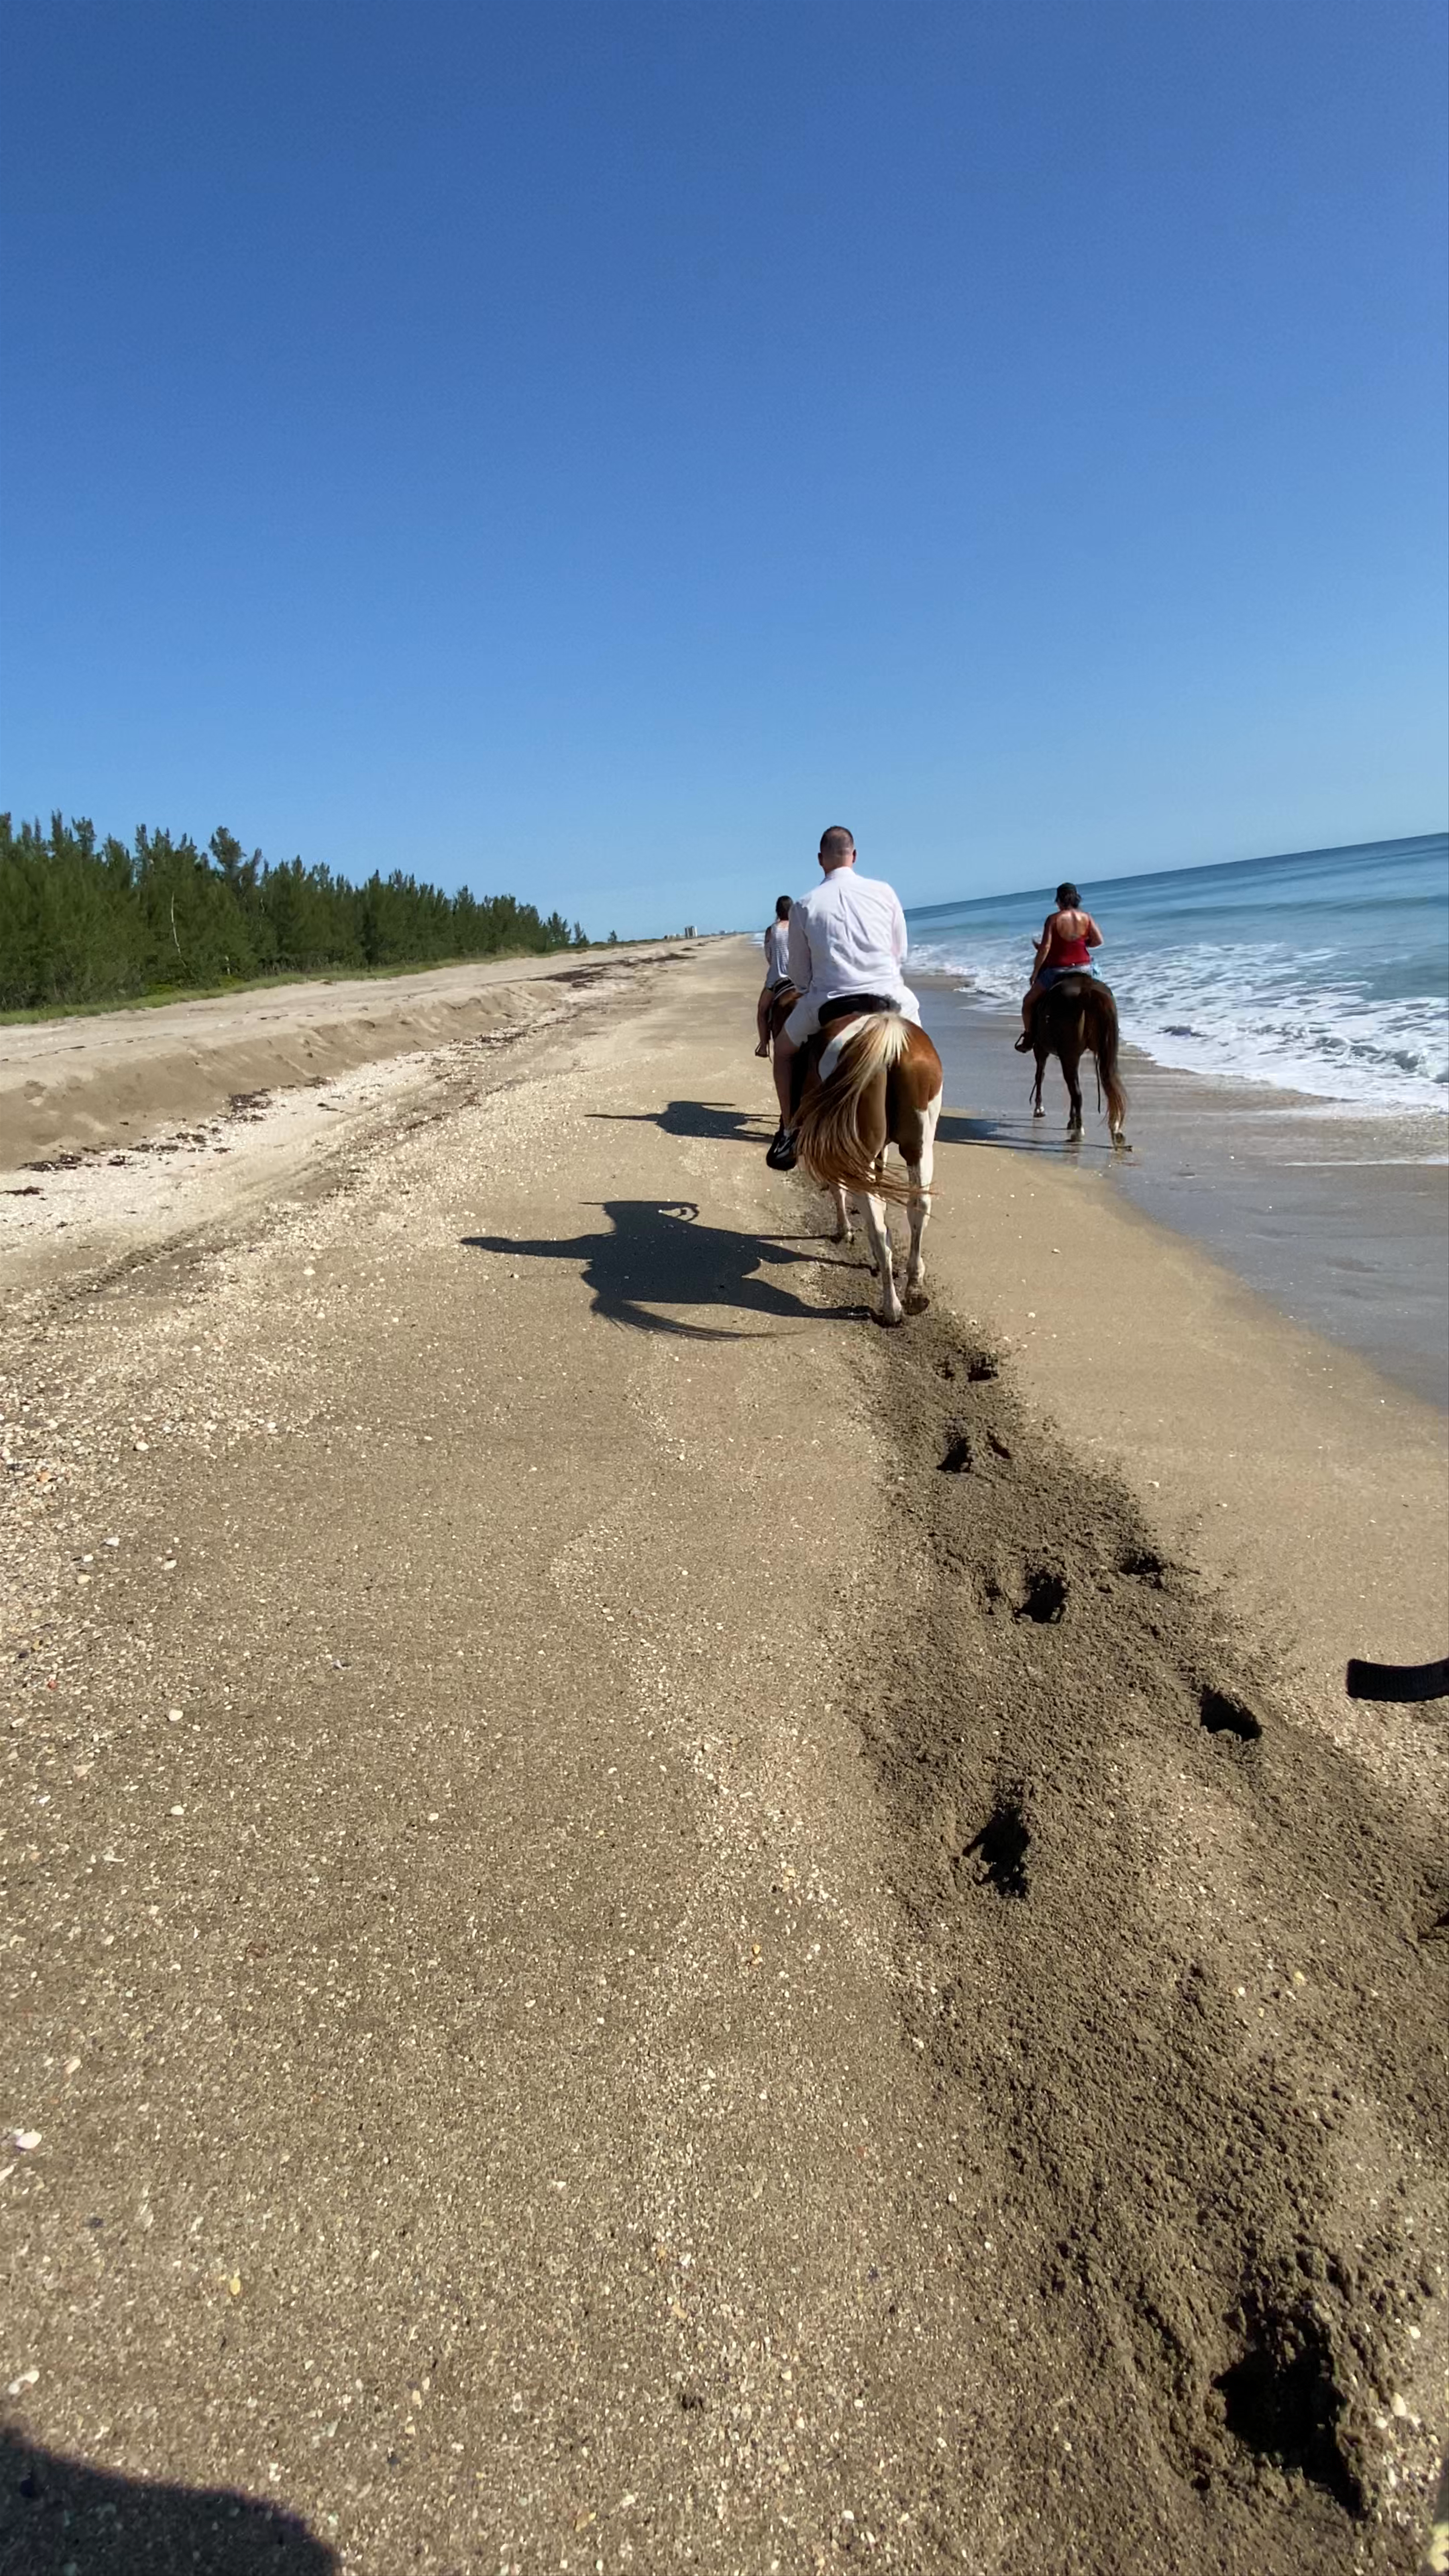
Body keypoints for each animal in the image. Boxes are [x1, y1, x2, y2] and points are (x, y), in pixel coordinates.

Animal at [791, 1007, 944, 1326]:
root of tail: (887, 1038)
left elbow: (840, 1191)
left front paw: (844, 1230)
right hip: (920, 1146)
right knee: (918, 1206)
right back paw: (913, 1288)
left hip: (857, 1156)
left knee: (875, 1223)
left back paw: (891, 1307)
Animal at [1029, 974, 1128, 1147]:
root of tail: (1087, 991)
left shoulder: (1041, 1049)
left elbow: (1040, 1076)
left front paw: (1040, 1109)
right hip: (1103, 1051)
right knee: (1104, 1084)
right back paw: (1115, 1130)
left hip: (1068, 1054)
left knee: (1076, 1091)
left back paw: (1078, 1132)